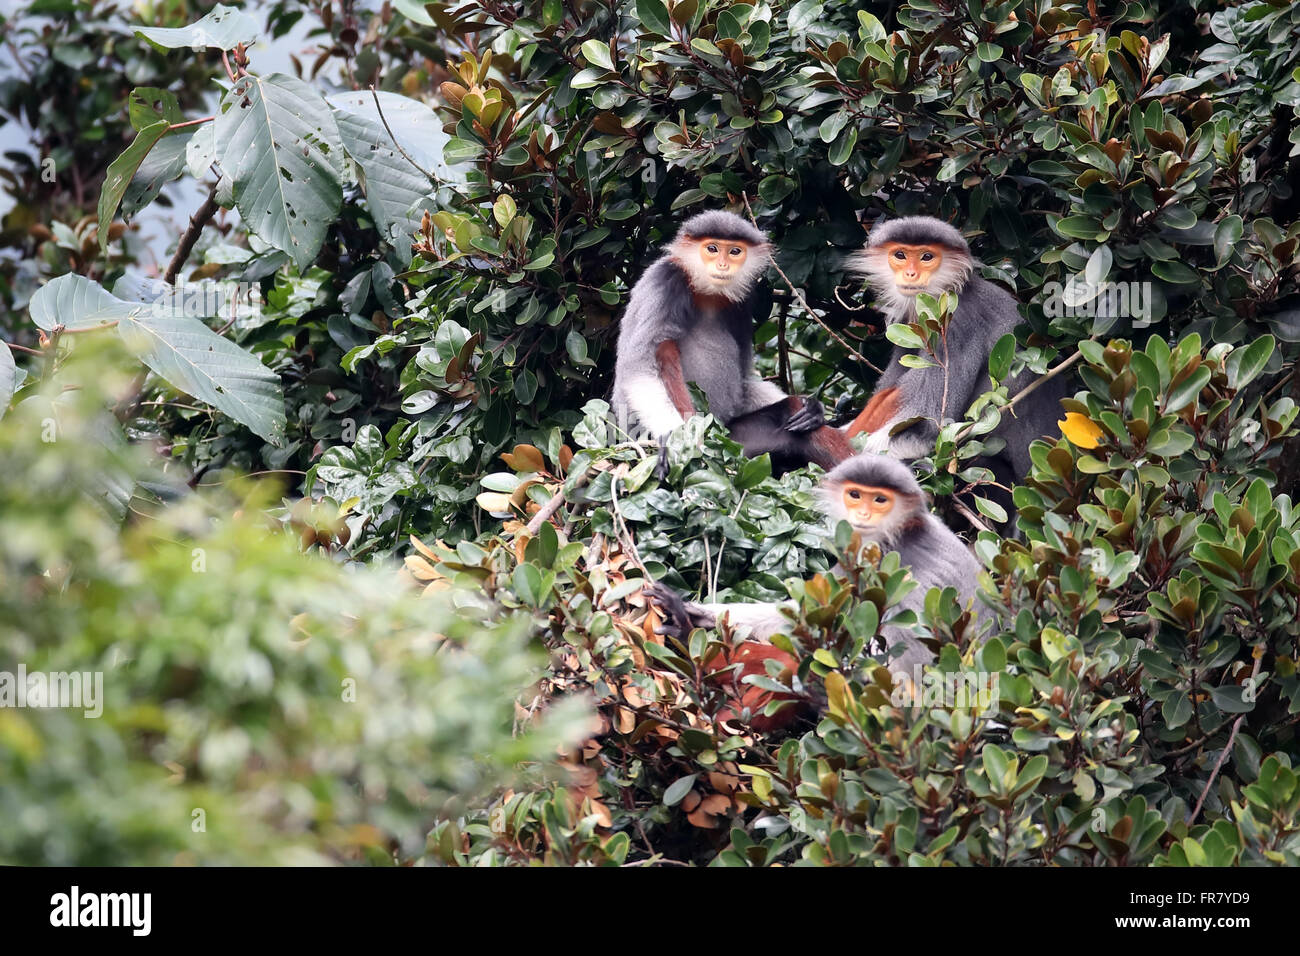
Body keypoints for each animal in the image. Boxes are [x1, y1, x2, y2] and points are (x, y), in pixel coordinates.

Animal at [613, 210, 857, 476]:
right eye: (712, 248)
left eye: (734, 252)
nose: (723, 265)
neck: (705, 293)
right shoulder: (665, 281)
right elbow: (639, 369)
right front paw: (670, 438)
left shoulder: (740, 305)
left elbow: (743, 382)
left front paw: (813, 408)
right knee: (665, 348)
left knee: (790, 412)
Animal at [644, 452, 977, 728]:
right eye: (855, 495)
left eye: (880, 500)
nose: (864, 515)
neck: (893, 537)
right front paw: (696, 614)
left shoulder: (908, 571)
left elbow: (910, 681)